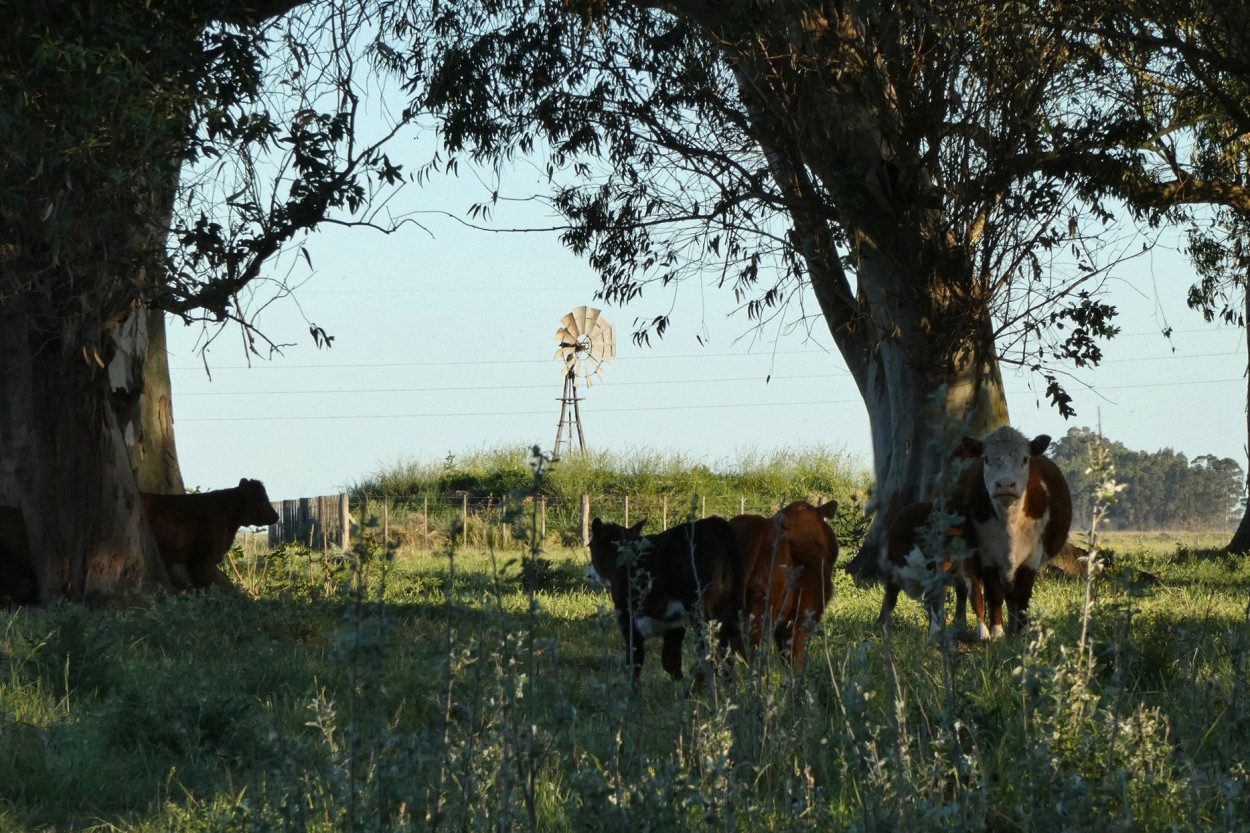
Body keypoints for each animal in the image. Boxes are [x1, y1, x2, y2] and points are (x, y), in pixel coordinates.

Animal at [585, 515, 740, 685]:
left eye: (589, 546)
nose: (589, 570)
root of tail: (714, 522)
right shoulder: (674, 625)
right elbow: (671, 662)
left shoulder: (626, 617)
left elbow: (635, 661)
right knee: (728, 653)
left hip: (703, 611)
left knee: (710, 652)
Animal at [730, 500, 840, 670]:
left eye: (804, 508)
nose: (777, 517)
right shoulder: (803, 612)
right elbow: (796, 651)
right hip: (763, 602)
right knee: (751, 642)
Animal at [880, 425, 1075, 637]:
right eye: (987, 459)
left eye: (1024, 459)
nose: (1005, 484)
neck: (1009, 524)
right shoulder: (985, 556)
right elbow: (992, 593)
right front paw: (996, 631)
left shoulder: (1032, 556)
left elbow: (1023, 595)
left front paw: (1022, 633)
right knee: (962, 592)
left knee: (1010, 596)